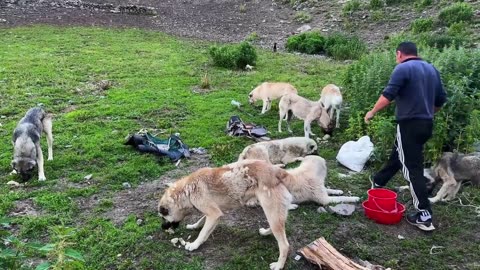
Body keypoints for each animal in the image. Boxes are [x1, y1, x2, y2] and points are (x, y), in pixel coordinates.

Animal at [158, 160, 292, 270]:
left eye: (163, 217)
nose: (162, 227)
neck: (186, 190)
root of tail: (278, 171)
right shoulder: (214, 211)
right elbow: (202, 220)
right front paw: (194, 226)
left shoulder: (213, 214)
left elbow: (202, 233)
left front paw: (195, 245)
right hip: (273, 213)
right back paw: (265, 232)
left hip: (271, 212)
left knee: (285, 245)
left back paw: (279, 265)